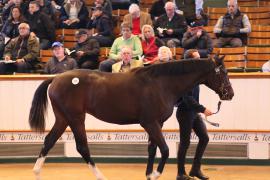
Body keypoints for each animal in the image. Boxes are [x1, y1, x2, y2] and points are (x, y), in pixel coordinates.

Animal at [28, 56, 233, 180]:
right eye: (222, 72)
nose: (230, 94)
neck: (161, 84)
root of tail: (55, 79)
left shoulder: (157, 123)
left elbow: (152, 149)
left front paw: (149, 174)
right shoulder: (149, 123)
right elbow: (165, 150)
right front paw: (155, 174)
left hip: (63, 119)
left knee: (49, 141)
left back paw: (37, 172)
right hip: (76, 118)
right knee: (82, 147)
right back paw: (100, 176)